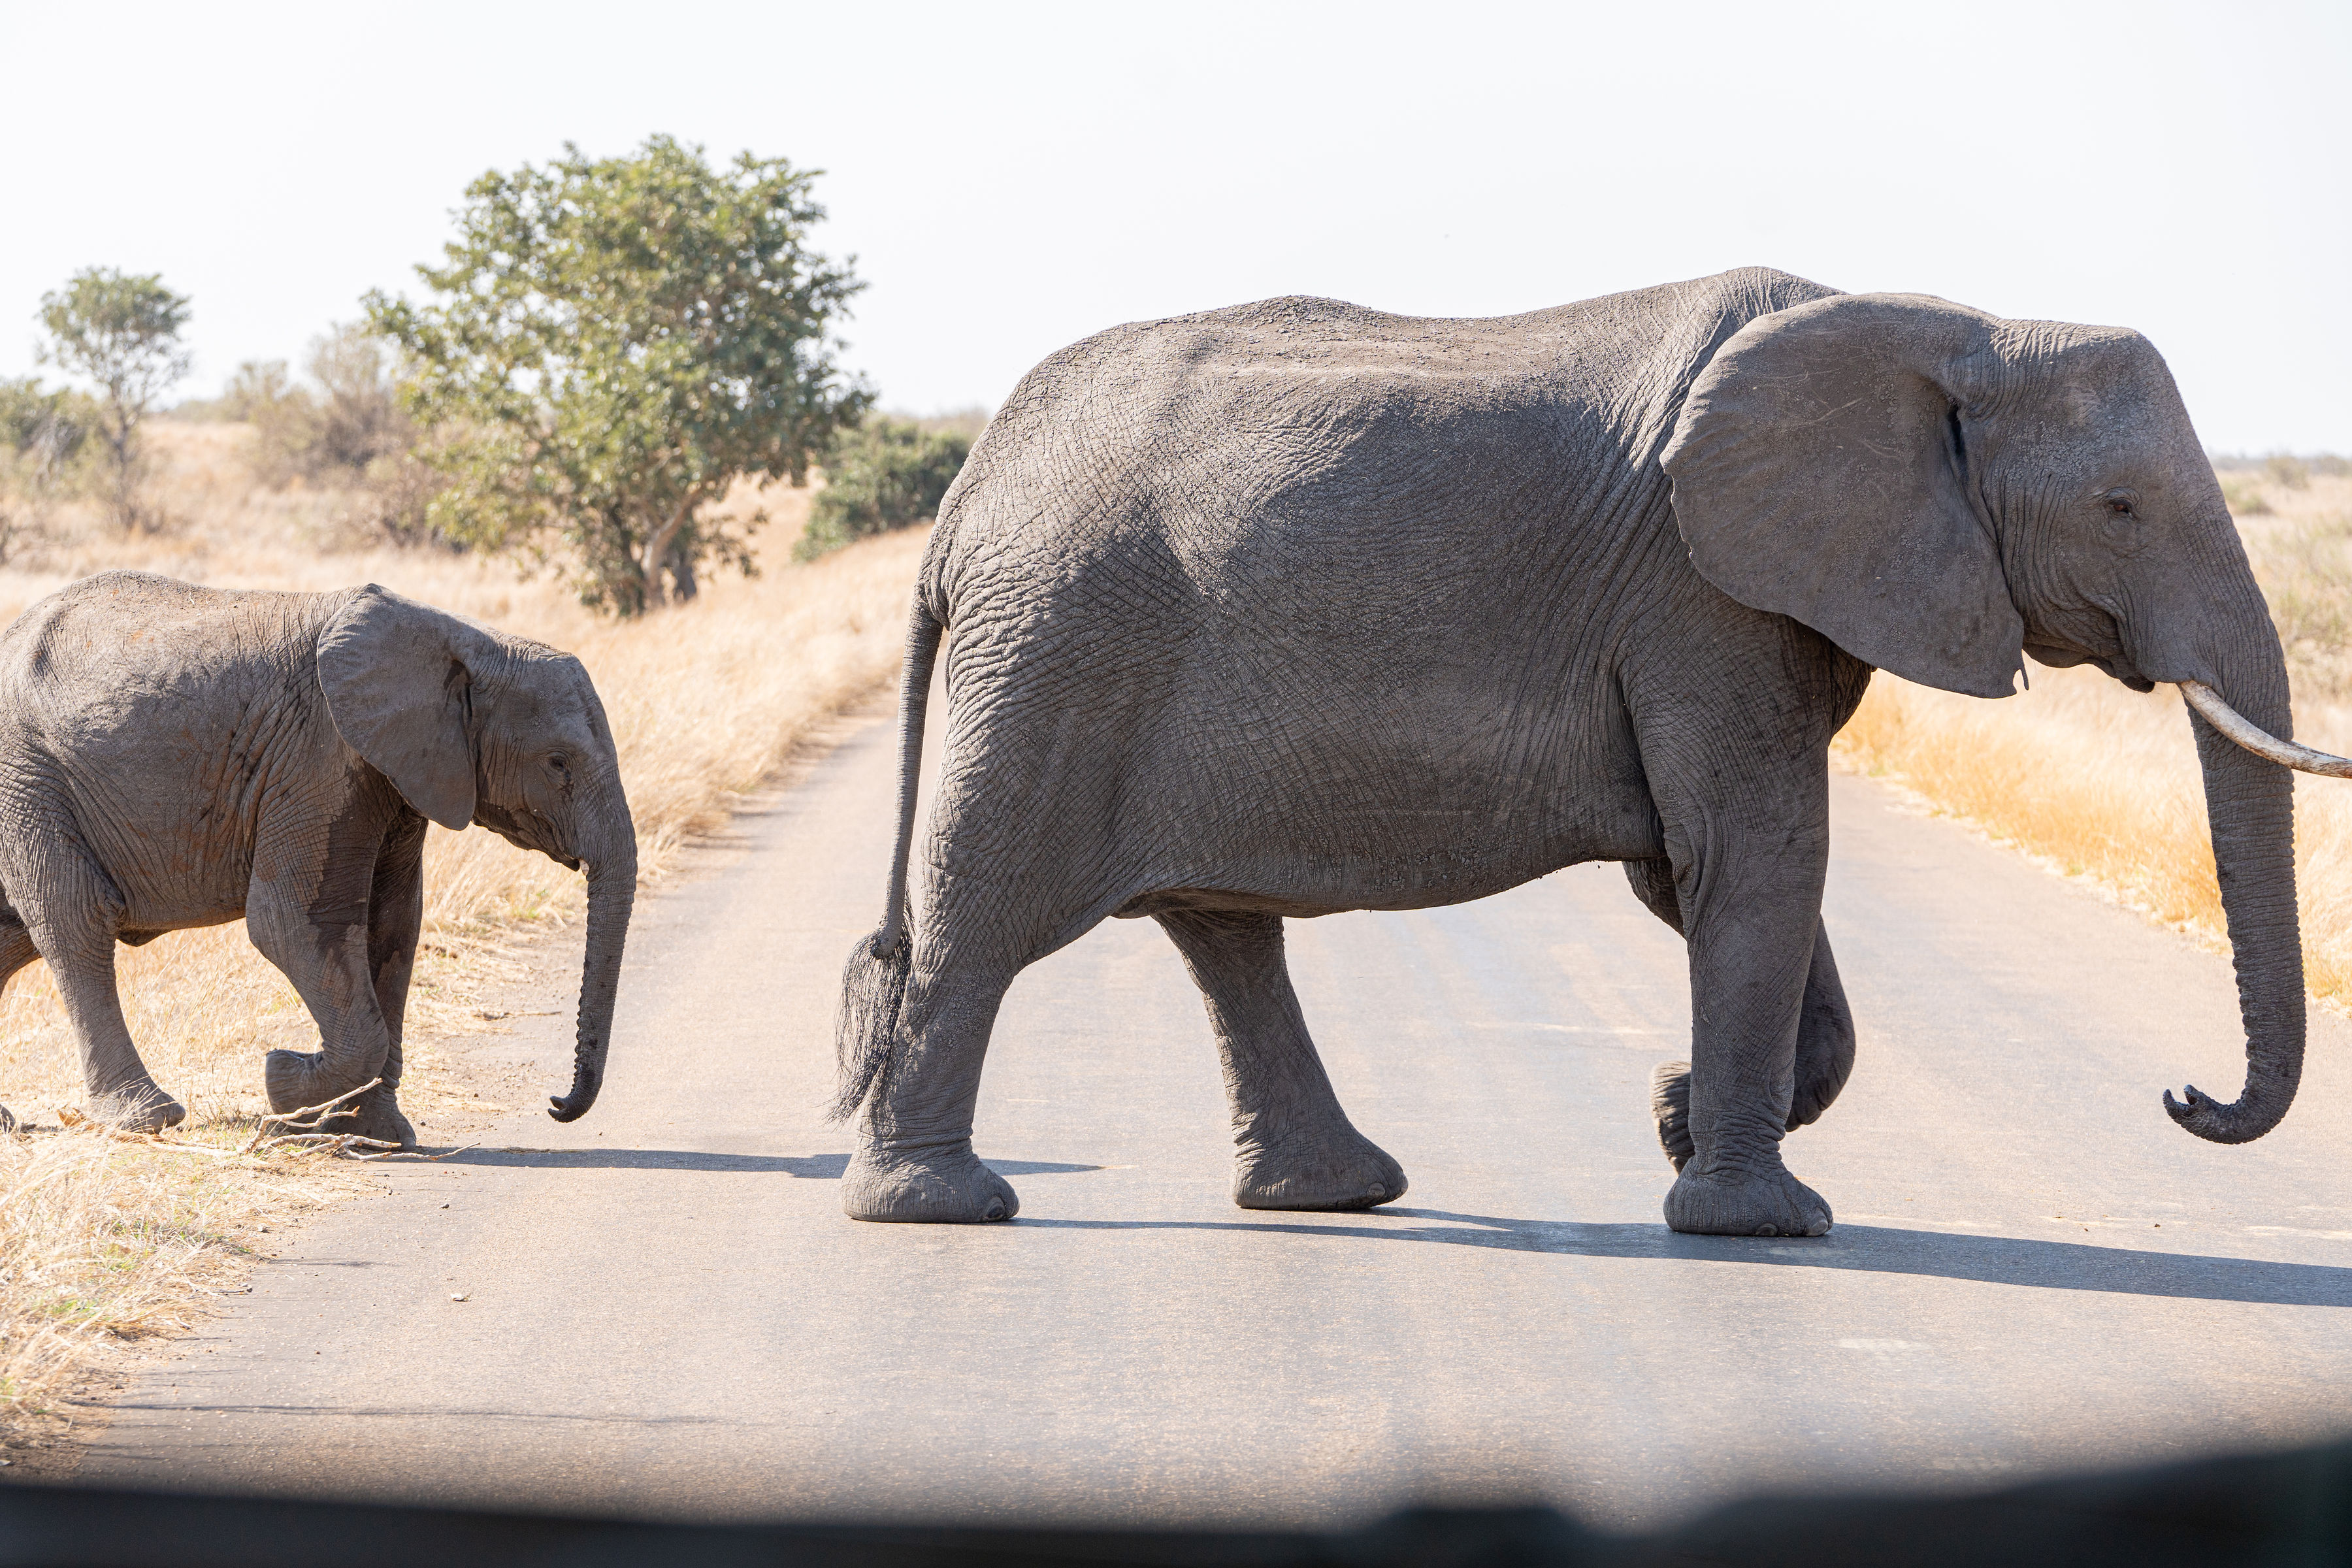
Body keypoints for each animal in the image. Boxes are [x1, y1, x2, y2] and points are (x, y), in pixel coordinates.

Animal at [0, 571, 635, 1146]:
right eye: (558, 763)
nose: (555, 1104)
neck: (470, 641)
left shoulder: (397, 773)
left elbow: (394, 928)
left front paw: (372, 1132)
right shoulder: (318, 758)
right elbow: (291, 924)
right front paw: (282, 1082)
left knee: (14, 937)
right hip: (29, 779)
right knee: (73, 921)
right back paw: (147, 1118)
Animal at [826, 265, 2324, 1237]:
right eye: (2119, 507)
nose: (2185, 1095)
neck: (1957, 324)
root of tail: (968, 493)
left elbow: (1707, 867)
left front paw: (1678, 1118)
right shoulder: (1701, 592)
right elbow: (1755, 855)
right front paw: (1759, 1220)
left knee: (1221, 930)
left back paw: (1333, 1193)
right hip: (1062, 649)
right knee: (987, 912)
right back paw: (938, 1207)